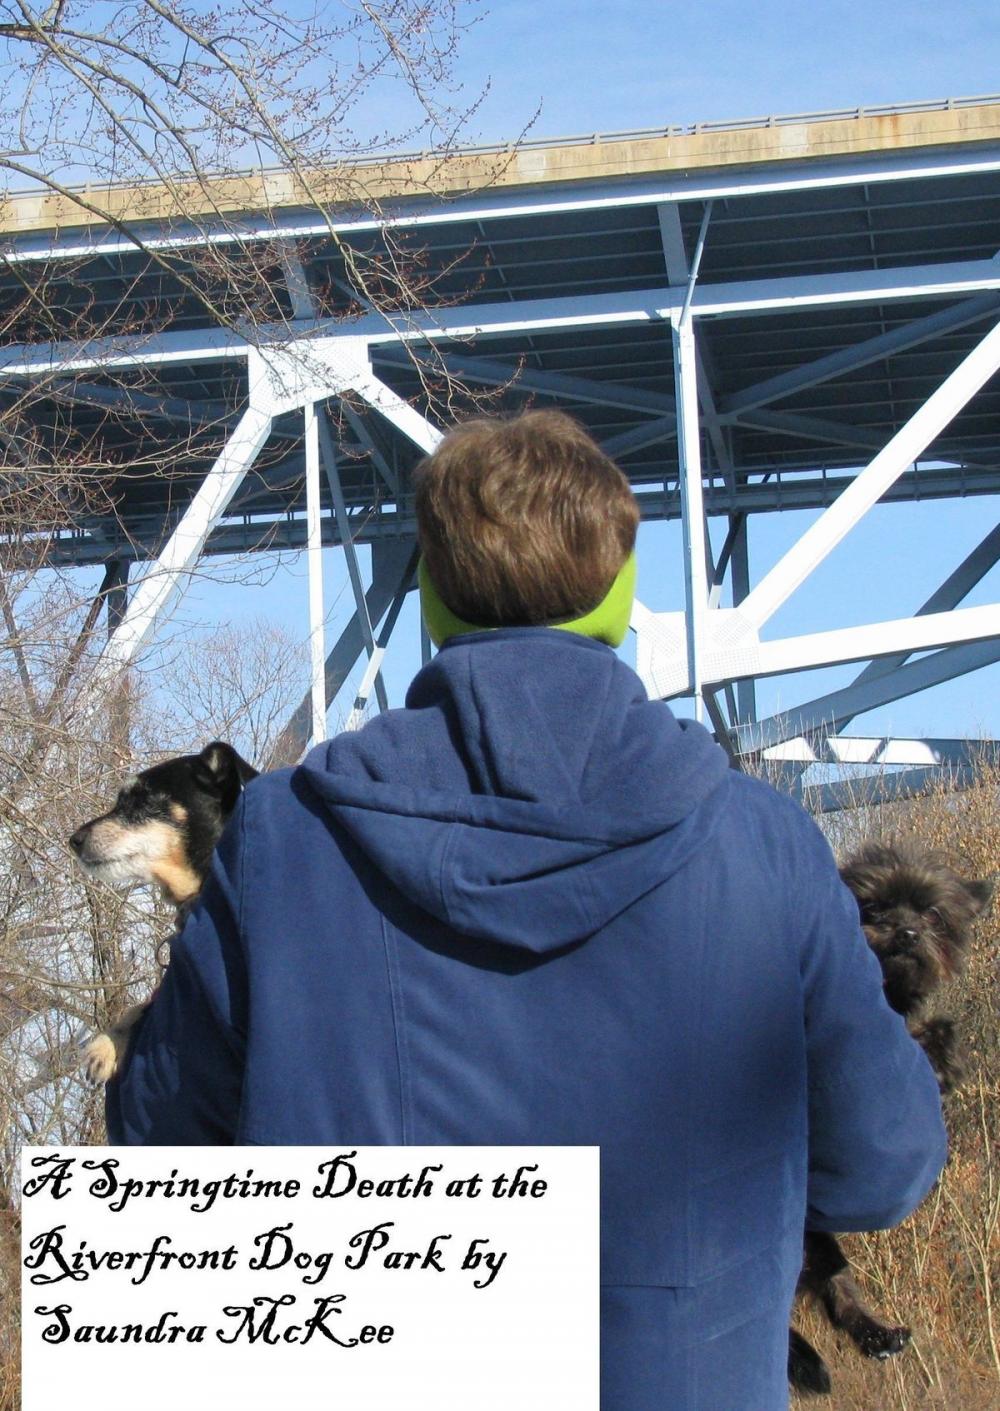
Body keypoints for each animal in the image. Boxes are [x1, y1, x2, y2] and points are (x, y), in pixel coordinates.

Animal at [789, 840, 992, 1394]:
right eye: (874, 907)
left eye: (932, 914)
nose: (906, 932)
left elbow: (939, 1030)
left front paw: (943, 1062)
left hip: (817, 1243)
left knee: (836, 1286)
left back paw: (872, 1336)